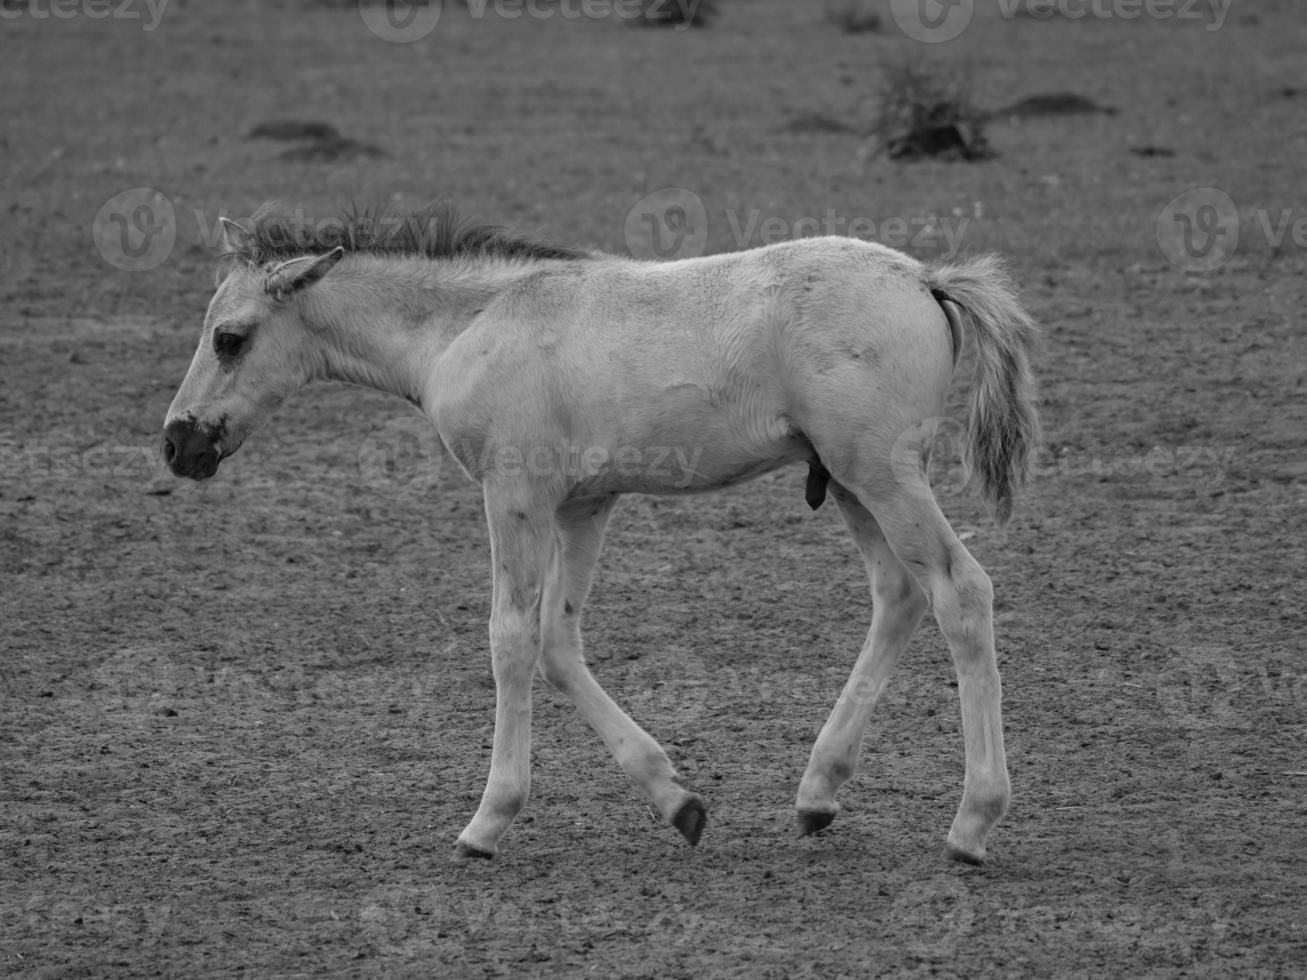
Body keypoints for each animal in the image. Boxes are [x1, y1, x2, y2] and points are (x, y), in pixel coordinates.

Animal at [163, 203, 1040, 862]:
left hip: (882, 475)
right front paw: (676, 800)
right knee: (899, 596)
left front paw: (488, 820)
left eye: (230, 338)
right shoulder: (584, 505)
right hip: (854, 484)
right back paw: (817, 793)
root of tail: (923, 278)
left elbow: (510, 639)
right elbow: (558, 642)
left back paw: (971, 822)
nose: (177, 443)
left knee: (960, 592)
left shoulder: (513, 494)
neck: (469, 323)